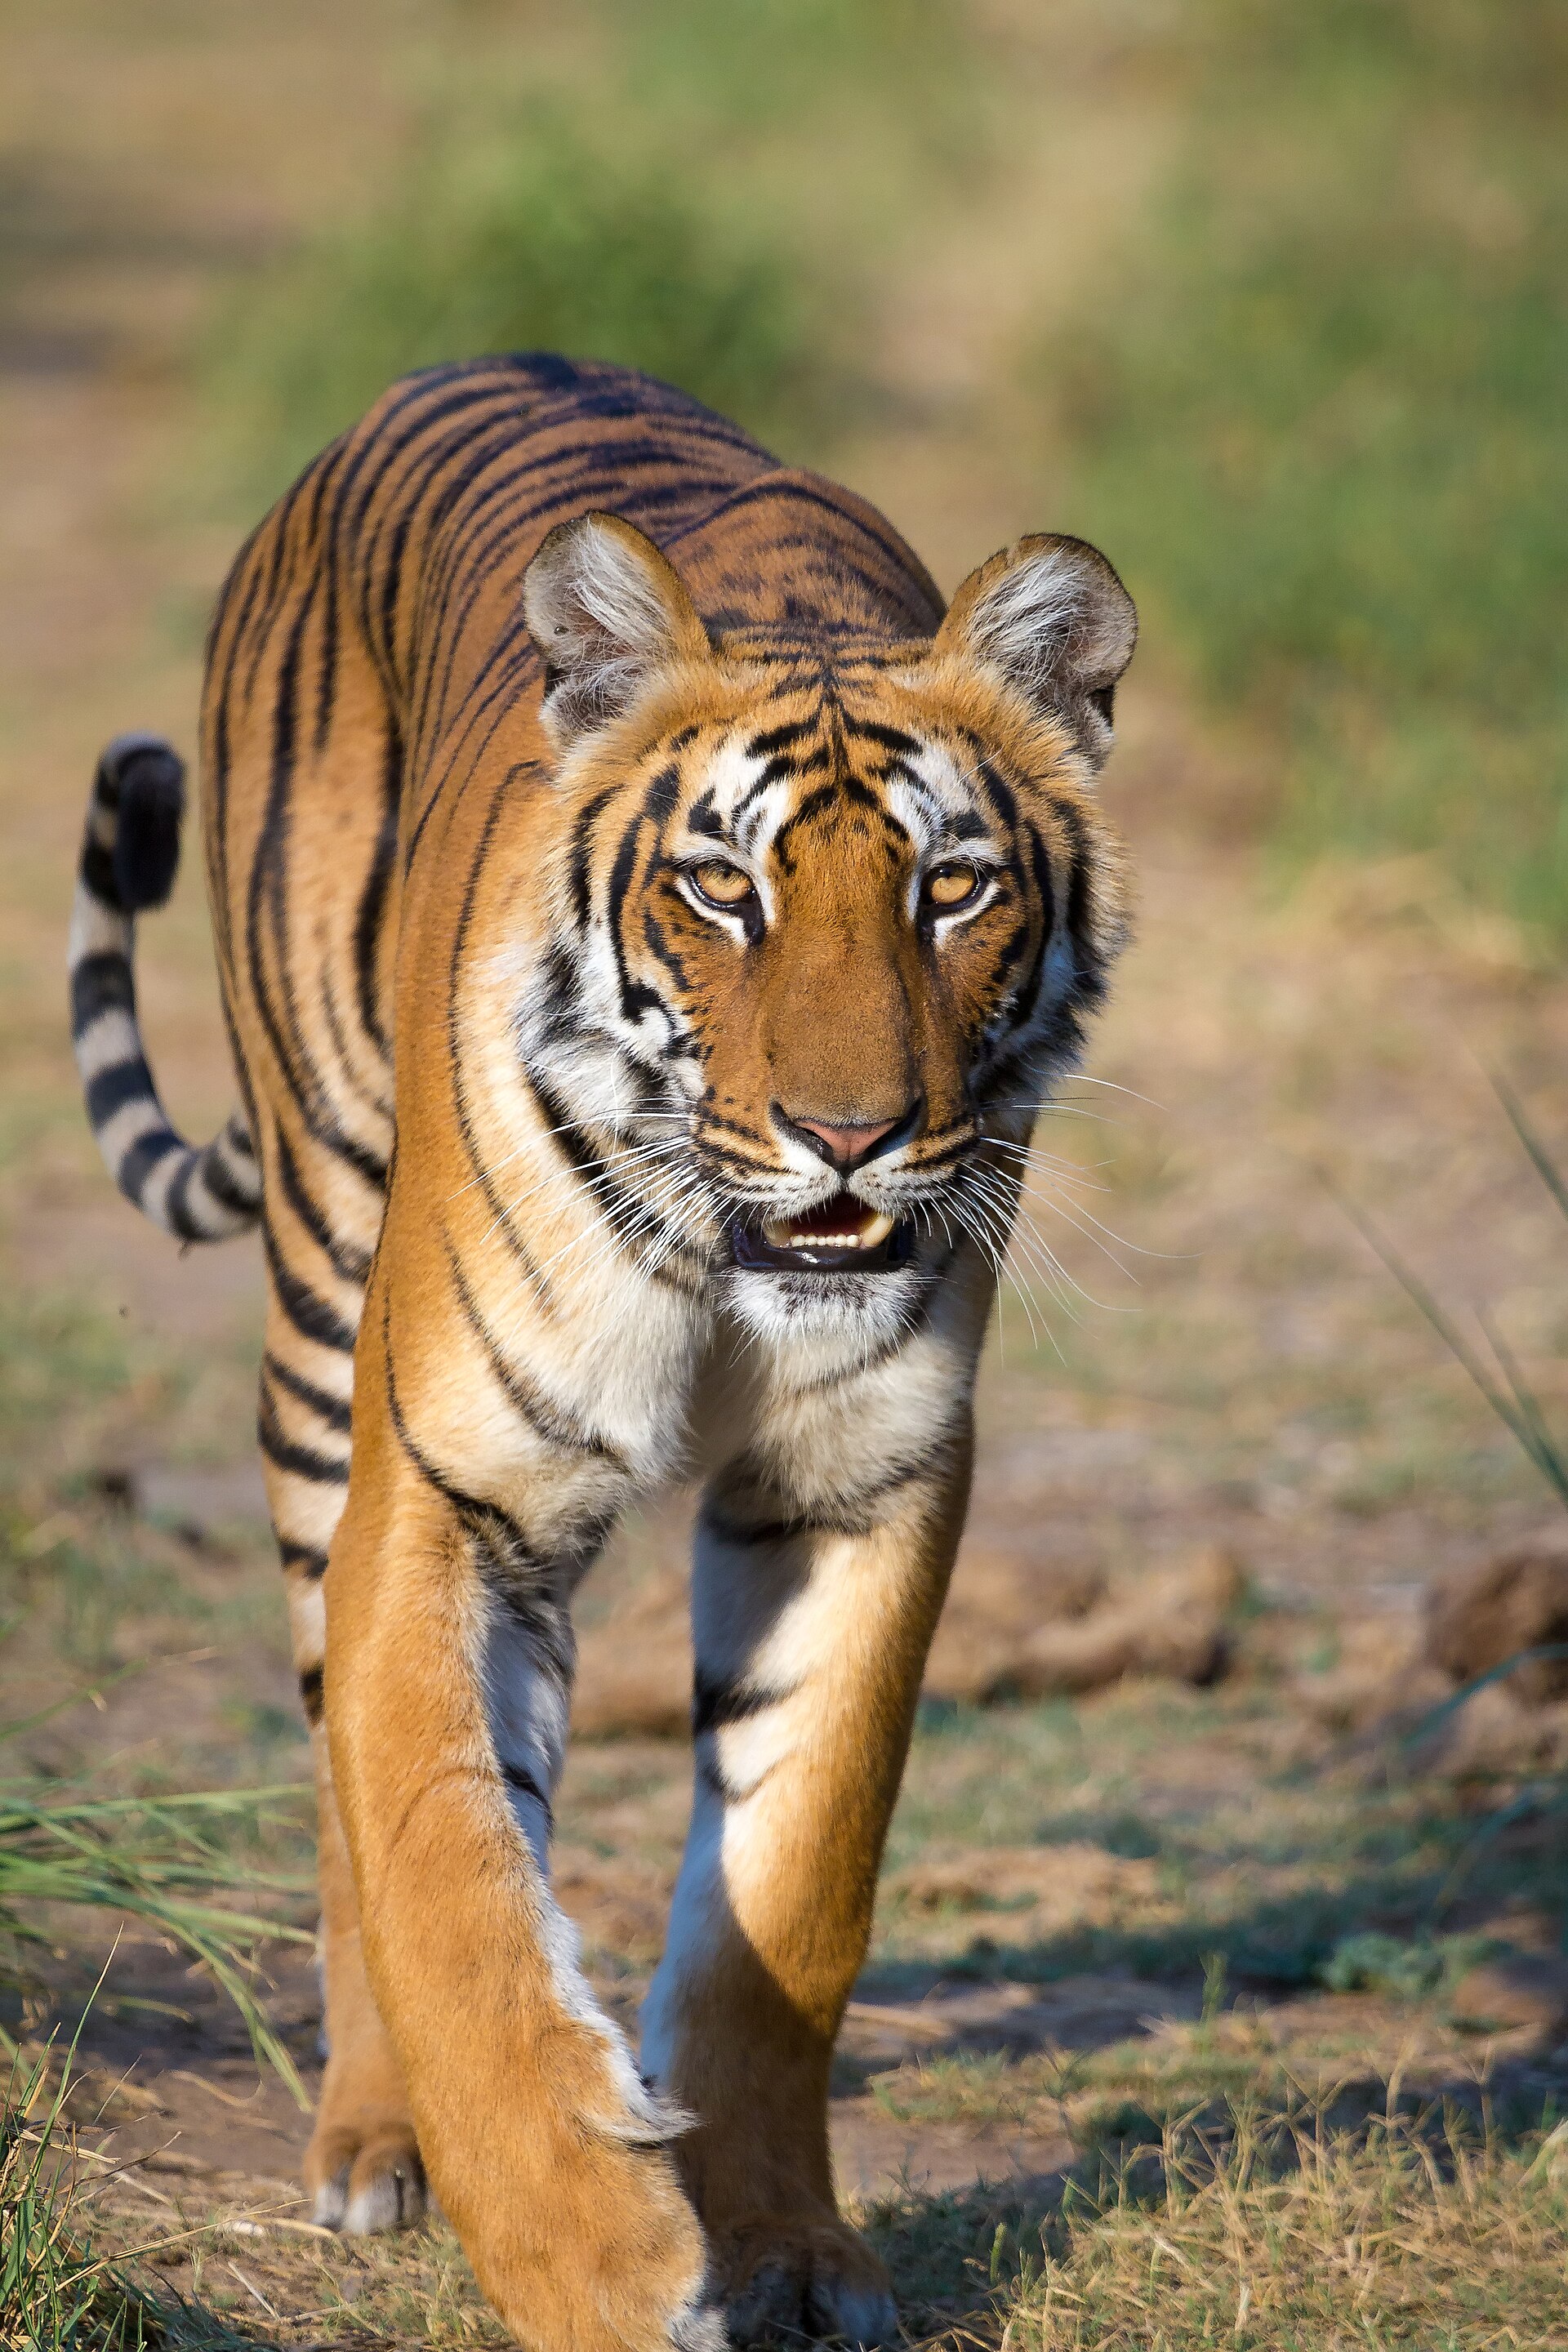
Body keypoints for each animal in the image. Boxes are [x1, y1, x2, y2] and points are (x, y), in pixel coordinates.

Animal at [69, 354, 1135, 2351]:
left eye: (954, 890)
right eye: (722, 891)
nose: (850, 1137)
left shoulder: (860, 1488)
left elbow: (792, 1892)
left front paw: (786, 2249)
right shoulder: (445, 1494)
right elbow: (446, 1878)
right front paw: (601, 2263)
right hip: (321, 1315)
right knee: (345, 1783)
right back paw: (375, 2141)